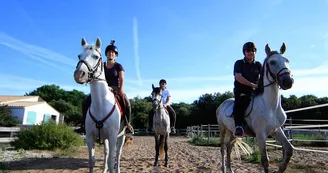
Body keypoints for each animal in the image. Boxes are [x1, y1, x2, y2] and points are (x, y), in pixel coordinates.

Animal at [73, 37, 126, 172]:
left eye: (96, 56)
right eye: (79, 55)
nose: (78, 75)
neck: (101, 105)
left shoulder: (113, 137)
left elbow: (112, 160)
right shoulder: (90, 137)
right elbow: (92, 161)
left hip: (122, 136)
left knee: (118, 154)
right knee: (106, 152)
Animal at [217, 43, 294, 173]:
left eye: (287, 60)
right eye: (272, 62)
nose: (288, 81)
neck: (270, 106)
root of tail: (222, 104)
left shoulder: (276, 130)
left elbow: (289, 149)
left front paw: (278, 170)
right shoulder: (261, 134)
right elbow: (265, 161)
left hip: (233, 132)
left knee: (229, 146)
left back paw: (230, 169)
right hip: (222, 129)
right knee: (222, 147)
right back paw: (223, 169)